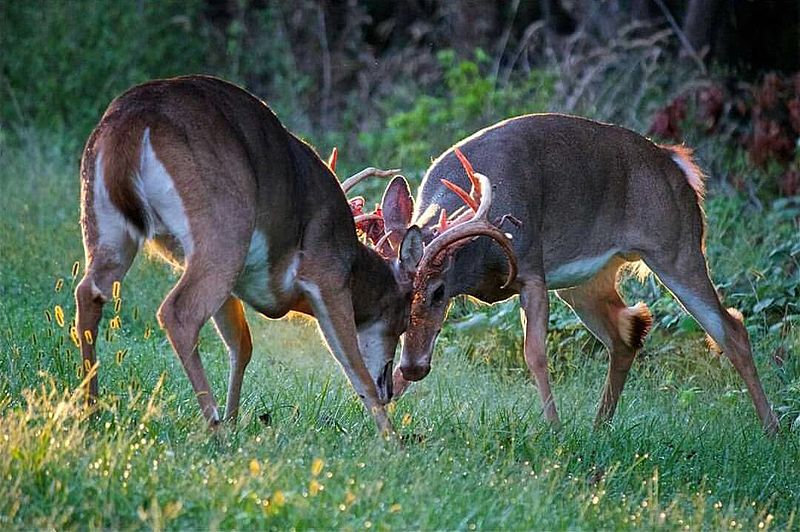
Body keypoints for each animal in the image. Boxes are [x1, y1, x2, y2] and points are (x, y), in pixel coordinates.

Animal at [73, 74, 512, 432]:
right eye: (404, 316)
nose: (394, 384)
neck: (354, 262)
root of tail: (136, 121)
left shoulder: (241, 281)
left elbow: (242, 345)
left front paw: (237, 422)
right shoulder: (326, 275)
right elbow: (354, 368)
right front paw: (393, 441)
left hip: (108, 222)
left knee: (89, 291)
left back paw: (91, 408)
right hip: (223, 227)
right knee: (178, 311)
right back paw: (210, 424)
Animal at [388, 114, 780, 434]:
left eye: (439, 291)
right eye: (400, 300)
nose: (412, 368)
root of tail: (676, 163)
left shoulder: (531, 269)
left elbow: (534, 353)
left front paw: (554, 428)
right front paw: (385, 413)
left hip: (677, 248)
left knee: (731, 329)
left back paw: (772, 430)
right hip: (588, 281)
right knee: (627, 335)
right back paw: (599, 426)